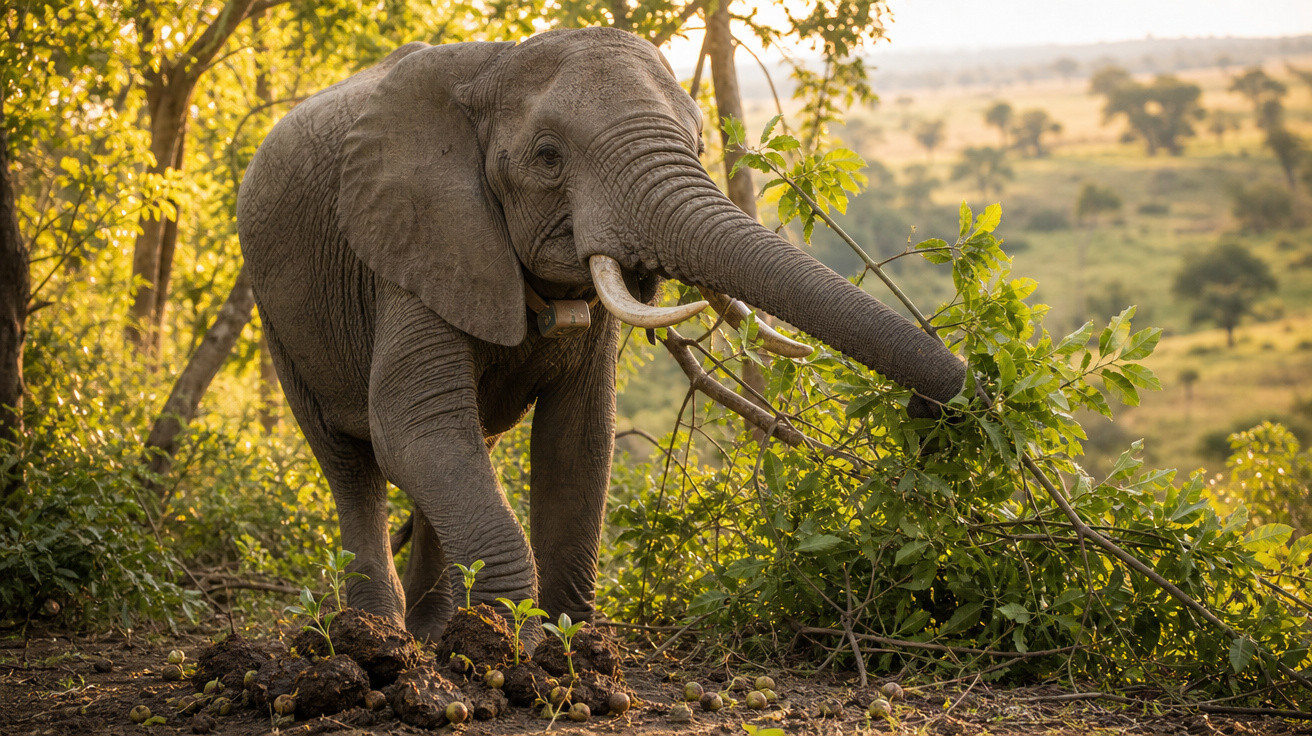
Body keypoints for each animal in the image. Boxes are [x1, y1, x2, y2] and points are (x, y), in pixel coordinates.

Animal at [236, 26, 965, 641]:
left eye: (700, 147)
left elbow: (578, 436)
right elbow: (412, 427)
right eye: (548, 157)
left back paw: (429, 632)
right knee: (351, 463)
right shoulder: (413, 244)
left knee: (460, 445)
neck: (492, 69)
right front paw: (503, 646)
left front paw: (566, 644)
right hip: (276, 310)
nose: (938, 407)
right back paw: (377, 638)